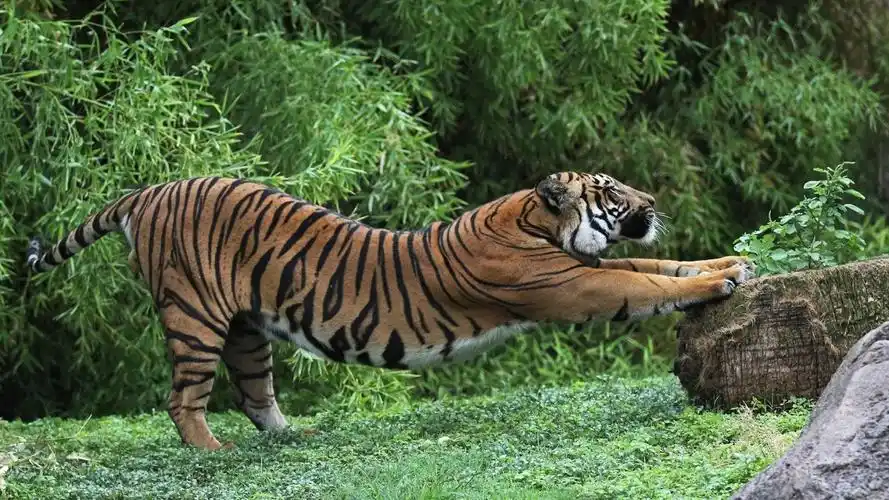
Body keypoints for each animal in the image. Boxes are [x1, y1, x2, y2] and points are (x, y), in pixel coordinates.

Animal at [25, 171, 754, 450]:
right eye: (610, 191)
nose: (653, 202)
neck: (534, 222)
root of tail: (147, 191)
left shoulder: (587, 267)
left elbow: (661, 267)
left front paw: (730, 262)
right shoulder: (575, 285)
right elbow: (646, 286)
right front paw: (720, 280)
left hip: (246, 329)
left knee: (256, 394)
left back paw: (293, 437)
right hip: (195, 318)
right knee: (183, 399)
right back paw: (212, 449)